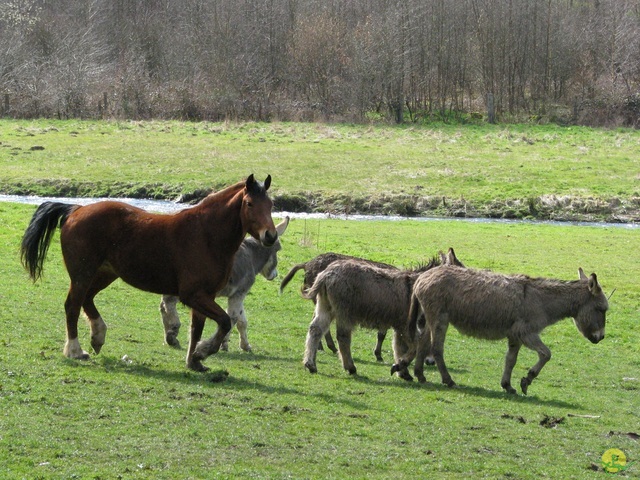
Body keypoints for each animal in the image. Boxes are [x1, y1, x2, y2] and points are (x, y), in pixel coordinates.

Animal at [19, 175, 276, 372]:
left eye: (271, 205)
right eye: (250, 203)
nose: (270, 236)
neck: (206, 235)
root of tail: (76, 209)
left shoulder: (205, 296)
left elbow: (198, 329)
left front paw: (194, 360)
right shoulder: (194, 295)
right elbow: (223, 322)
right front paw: (202, 352)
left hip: (104, 274)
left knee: (87, 300)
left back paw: (98, 336)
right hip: (83, 274)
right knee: (72, 305)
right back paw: (75, 350)